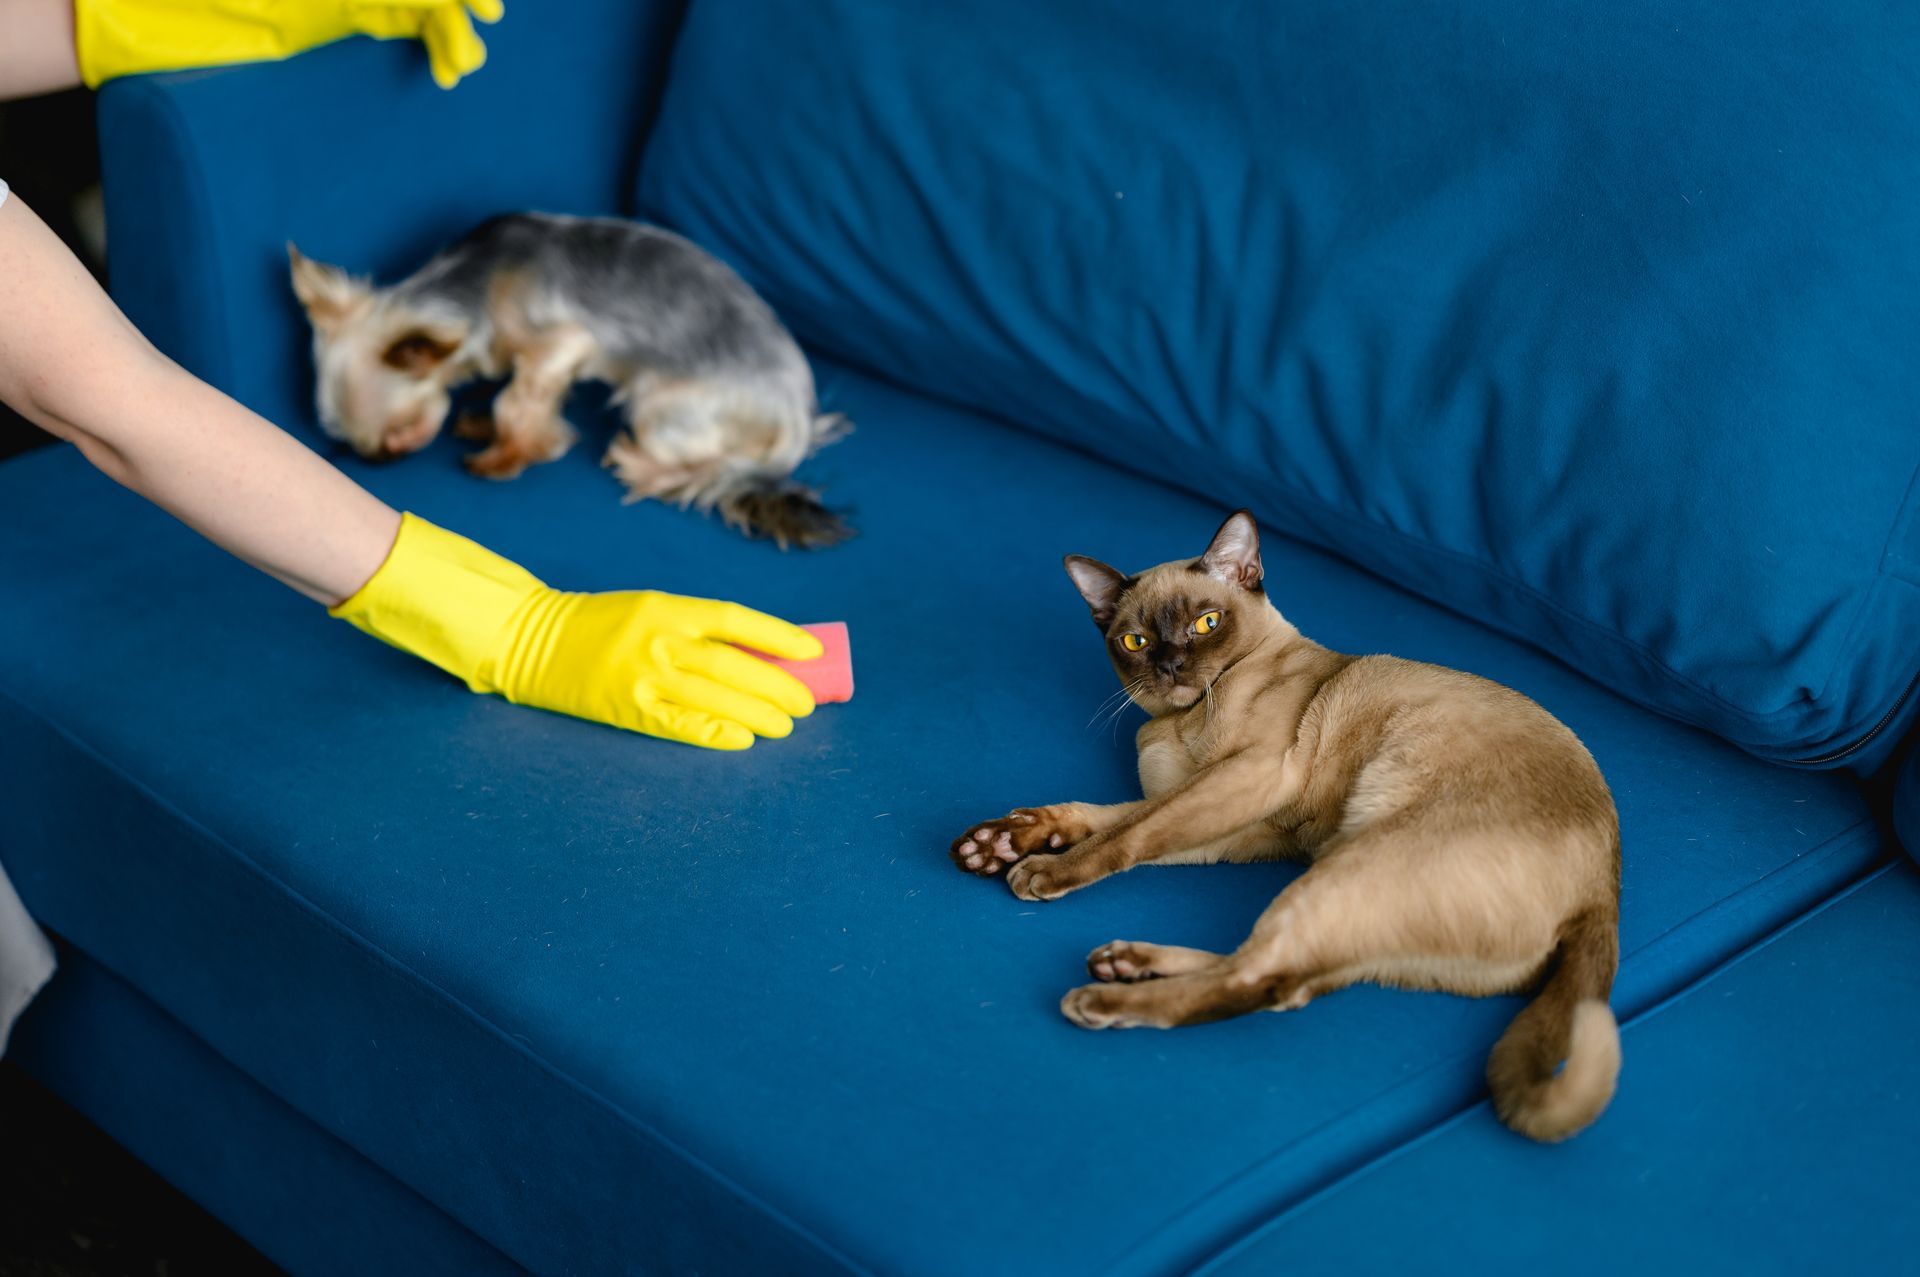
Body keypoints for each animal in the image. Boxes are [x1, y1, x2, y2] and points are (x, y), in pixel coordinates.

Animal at [289, 210, 848, 549]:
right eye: (351, 444)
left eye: (396, 434)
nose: (373, 461)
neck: (475, 287)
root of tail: (796, 414)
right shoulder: (548, 361)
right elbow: (533, 401)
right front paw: (488, 429)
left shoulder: (563, 344)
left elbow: (515, 403)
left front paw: (504, 456)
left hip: (663, 409)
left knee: (703, 464)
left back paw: (641, 466)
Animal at [952, 514, 1628, 1136]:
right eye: (1137, 641)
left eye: (1206, 624)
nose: (1171, 666)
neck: (1178, 721)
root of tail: (1605, 890)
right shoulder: (1241, 825)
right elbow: (1111, 818)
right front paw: (1001, 843)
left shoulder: (1244, 780)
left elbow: (1128, 834)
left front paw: (1039, 870)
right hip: (1343, 890)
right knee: (1280, 982)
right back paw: (1124, 960)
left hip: (1353, 866)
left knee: (1255, 976)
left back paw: (1103, 996)